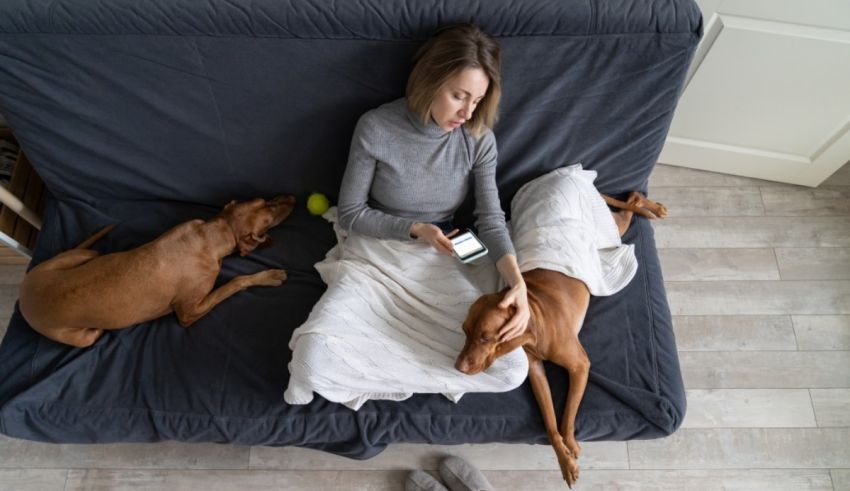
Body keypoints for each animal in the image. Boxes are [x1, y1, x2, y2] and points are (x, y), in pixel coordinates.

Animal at [18, 196, 296, 350]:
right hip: (79, 337)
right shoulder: (188, 313)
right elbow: (236, 281)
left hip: (85, 256)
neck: (212, 234)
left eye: (264, 201)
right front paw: (269, 276)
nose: (293, 198)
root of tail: (24, 296)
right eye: (268, 218)